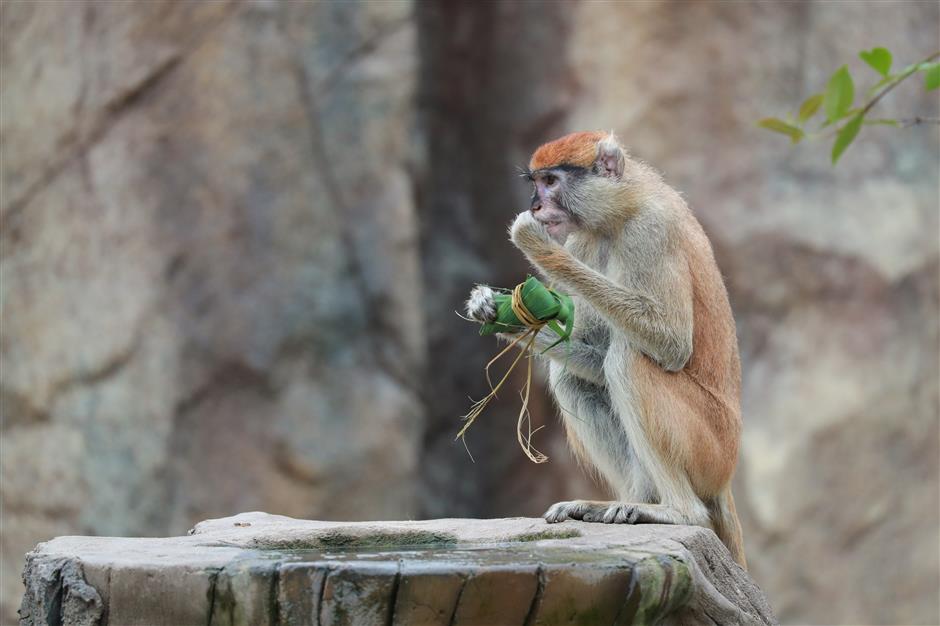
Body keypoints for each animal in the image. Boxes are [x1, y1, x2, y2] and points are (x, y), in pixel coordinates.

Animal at [466, 130, 744, 564]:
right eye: (535, 182)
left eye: (551, 181)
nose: (534, 205)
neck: (620, 210)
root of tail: (725, 480)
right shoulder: (586, 240)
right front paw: (492, 309)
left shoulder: (651, 230)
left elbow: (671, 343)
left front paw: (536, 245)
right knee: (573, 377)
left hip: (710, 450)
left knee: (628, 360)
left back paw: (678, 512)